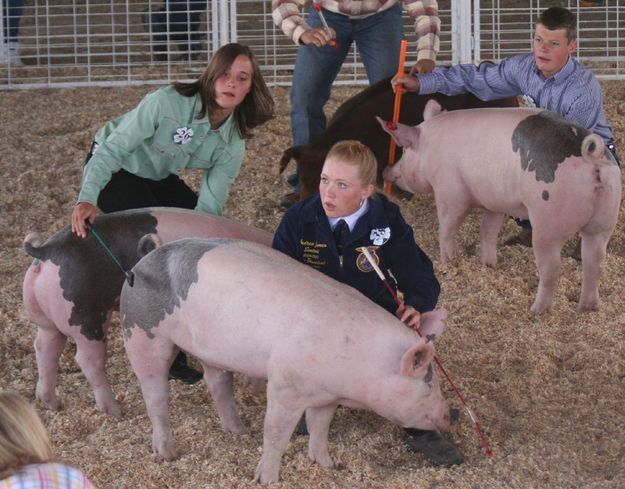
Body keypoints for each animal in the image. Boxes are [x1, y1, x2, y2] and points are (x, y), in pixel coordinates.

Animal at [22, 208, 270, 418]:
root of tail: (45, 250)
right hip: (86, 315)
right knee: (87, 359)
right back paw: (115, 412)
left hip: (47, 320)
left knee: (45, 348)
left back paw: (51, 403)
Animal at [119, 237, 456, 484]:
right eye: (428, 384)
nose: (452, 414)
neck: (363, 361)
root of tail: (143, 259)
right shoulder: (286, 385)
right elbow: (276, 434)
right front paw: (266, 480)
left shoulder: (326, 395)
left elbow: (320, 428)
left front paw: (328, 466)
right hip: (141, 332)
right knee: (155, 394)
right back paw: (167, 453)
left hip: (210, 350)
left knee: (217, 383)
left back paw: (238, 431)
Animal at [378, 100, 620, 312]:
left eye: (404, 151)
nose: (387, 170)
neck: (430, 147)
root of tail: (594, 158)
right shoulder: (494, 202)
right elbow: (488, 231)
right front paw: (488, 265)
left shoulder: (450, 191)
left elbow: (447, 227)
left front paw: (448, 262)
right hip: (606, 217)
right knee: (594, 261)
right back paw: (587, 307)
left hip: (550, 221)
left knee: (551, 268)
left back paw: (536, 310)